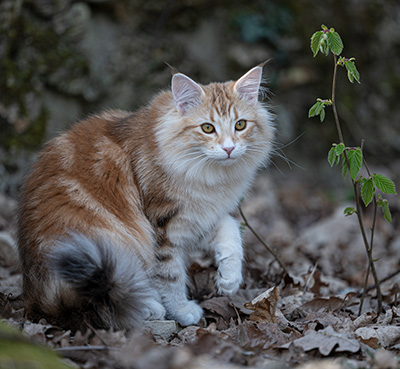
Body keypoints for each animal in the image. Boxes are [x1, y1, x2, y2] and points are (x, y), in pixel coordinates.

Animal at [17, 64, 274, 330]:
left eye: (240, 125)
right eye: (207, 128)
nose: (229, 148)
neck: (210, 176)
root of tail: (38, 299)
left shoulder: (200, 216)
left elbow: (231, 233)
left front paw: (229, 279)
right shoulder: (164, 226)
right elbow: (170, 276)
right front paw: (182, 311)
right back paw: (149, 307)